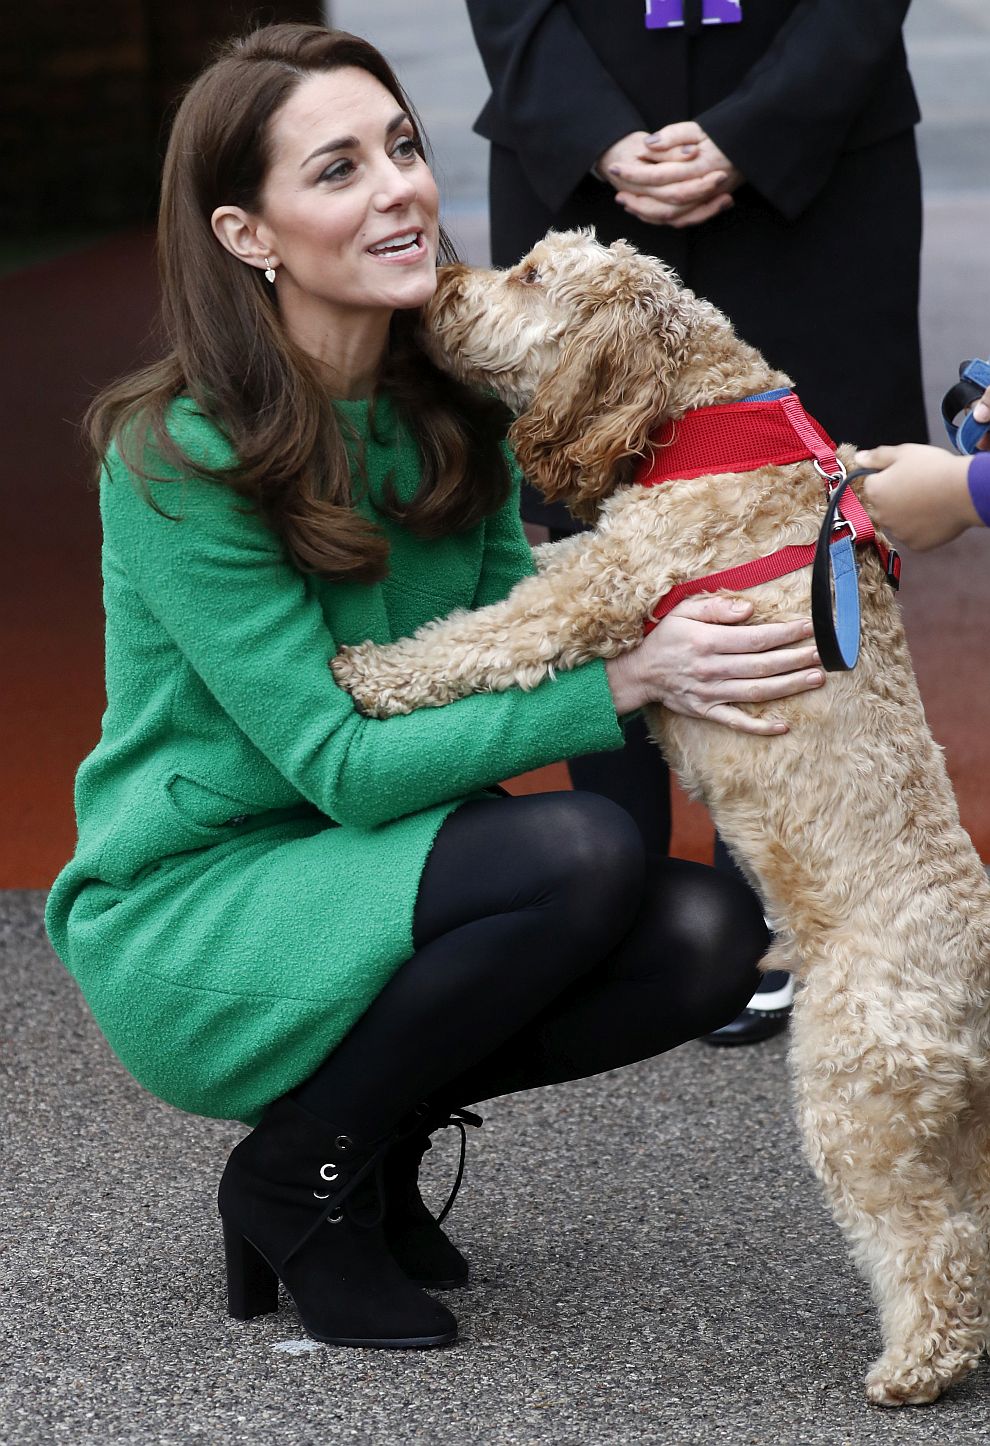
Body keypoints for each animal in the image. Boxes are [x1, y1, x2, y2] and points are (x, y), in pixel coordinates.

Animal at [332, 231, 988, 1405]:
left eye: (531, 276)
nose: (440, 283)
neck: (706, 415)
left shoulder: (599, 587)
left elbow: (479, 634)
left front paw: (373, 670)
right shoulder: (593, 557)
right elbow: (525, 568)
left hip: (861, 1101)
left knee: (932, 1242)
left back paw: (916, 1366)